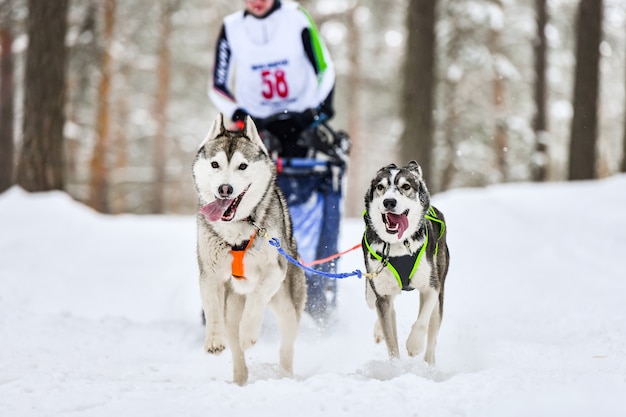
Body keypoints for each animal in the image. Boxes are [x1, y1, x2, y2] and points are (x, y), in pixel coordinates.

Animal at [191, 113, 306, 384]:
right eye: (215, 164)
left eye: (242, 166)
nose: (225, 189)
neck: (236, 234)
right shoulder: (209, 275)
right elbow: (212, 310)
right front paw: (214, 340)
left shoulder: (274, 271)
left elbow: (257, 296)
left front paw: (249, 332)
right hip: (231, 307)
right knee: (236, 347)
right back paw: (240, 379)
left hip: (287, 305)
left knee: (286, 346)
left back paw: (285, 375)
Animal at [360, 161, 448, 362]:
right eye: (380, 187)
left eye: (406, 186)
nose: (389, 202)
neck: (397, 245)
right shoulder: (382, 294)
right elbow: (391, 344)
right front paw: (395, 367)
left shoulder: (431, 287)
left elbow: (422, 321)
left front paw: (414, 344)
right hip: (374, 291)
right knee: (379, 304)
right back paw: (379, 330)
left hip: (439, 292)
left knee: (432, 331)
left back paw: (429, 364)